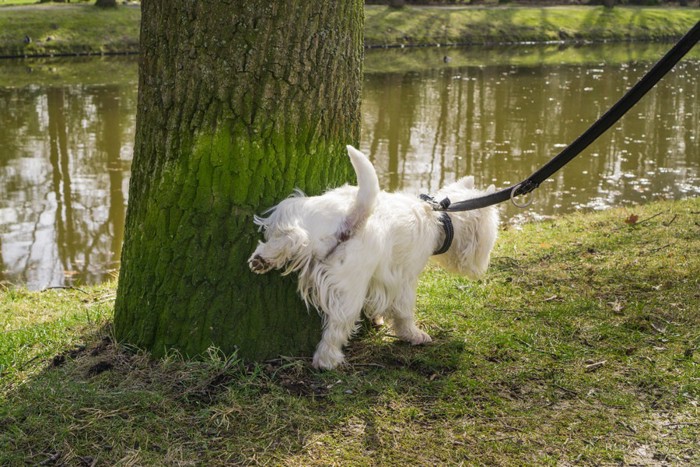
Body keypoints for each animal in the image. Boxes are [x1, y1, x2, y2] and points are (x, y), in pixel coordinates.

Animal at [246, 144, 498, 372]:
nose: (482, 269)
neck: (440, 217)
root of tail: (352, 217)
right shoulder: (404, 278)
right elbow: (404, 311)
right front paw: (414, 335)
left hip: (302, 213)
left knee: (294, 237)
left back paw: (263, 258)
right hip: (350, 286)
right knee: (338, 325)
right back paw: (327, 360)